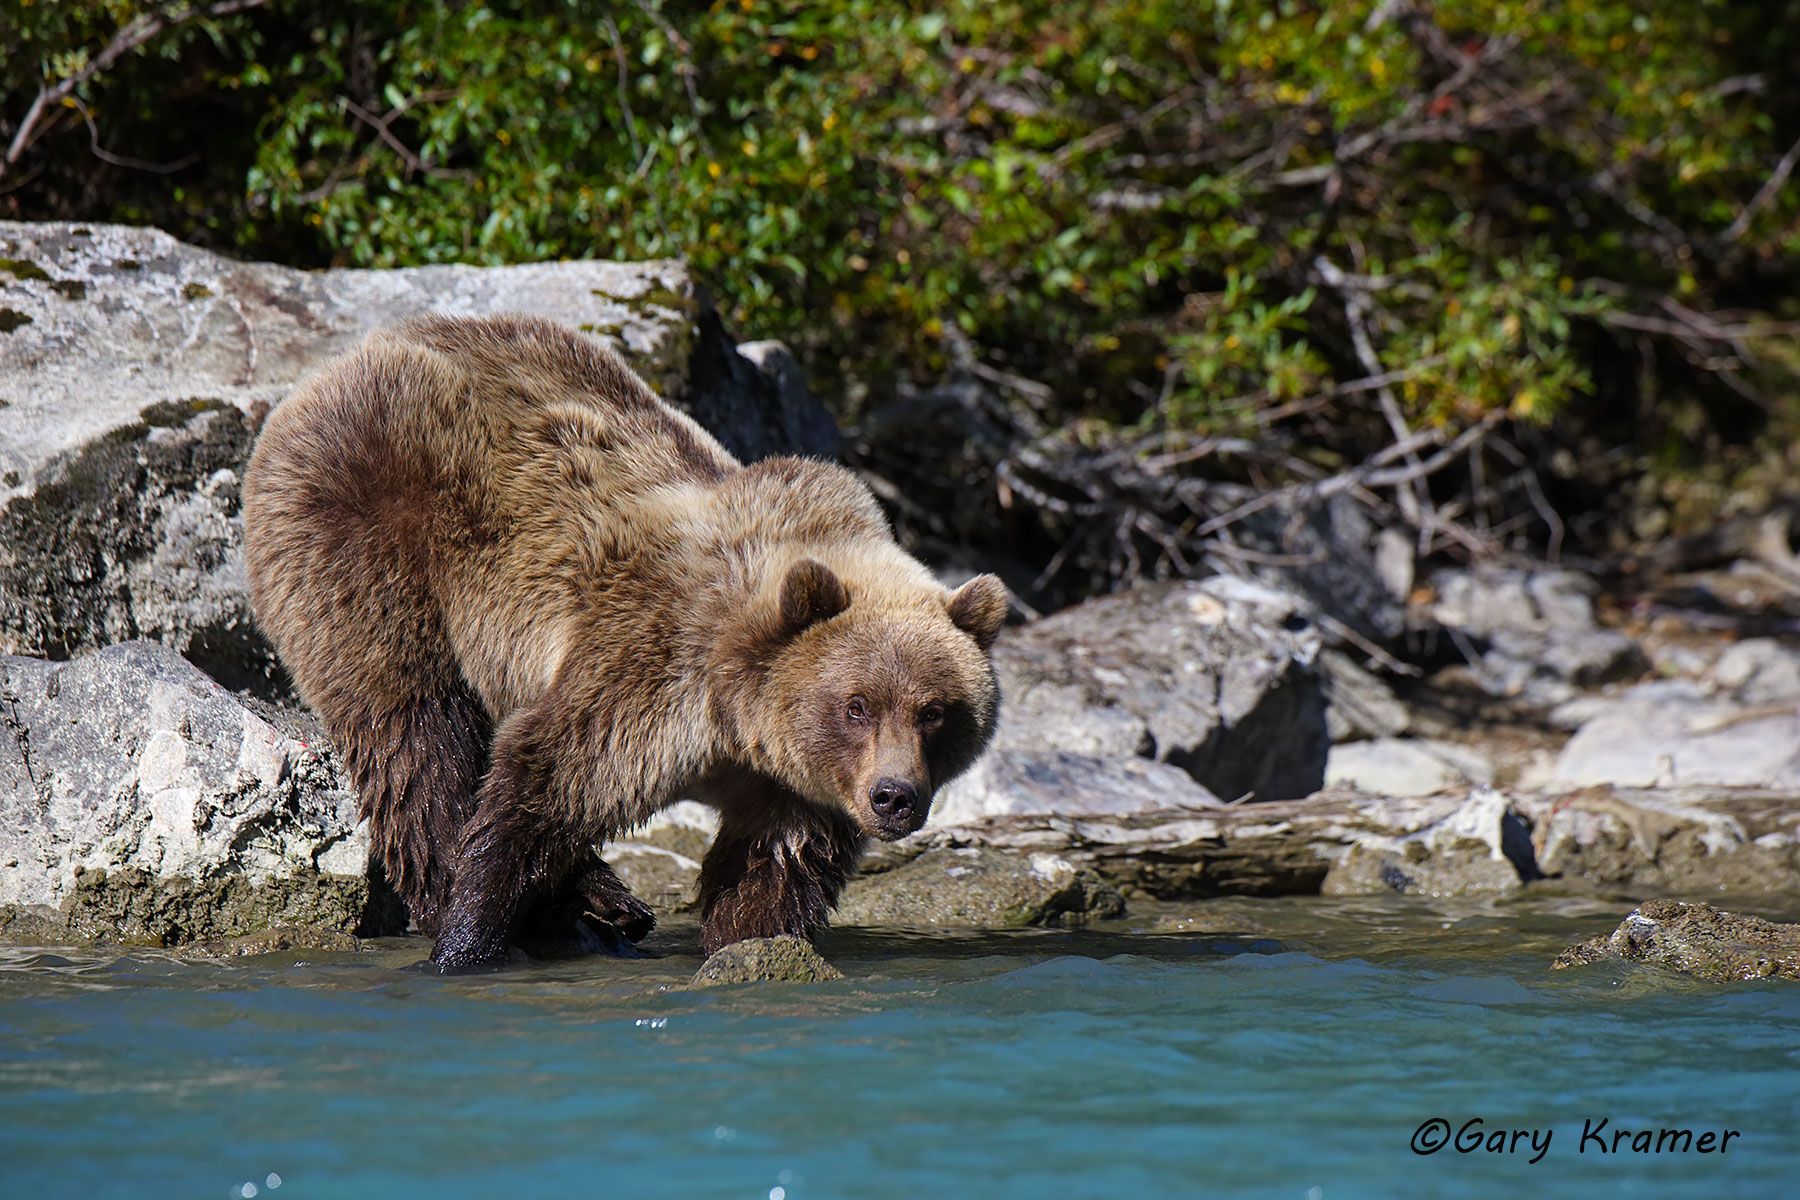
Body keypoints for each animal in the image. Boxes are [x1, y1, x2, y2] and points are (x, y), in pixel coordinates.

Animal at [242, 313, 1006, 969]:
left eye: (935, 711)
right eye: (856, 705)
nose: (894, 796)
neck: (737, 710)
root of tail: (339, 364)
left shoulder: (796, 786)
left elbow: (771, 869)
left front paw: (754, 943)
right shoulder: (653, 663)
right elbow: (547, 780)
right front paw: (470, 938)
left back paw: (606, 905)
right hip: (370, 531)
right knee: (415, 735)